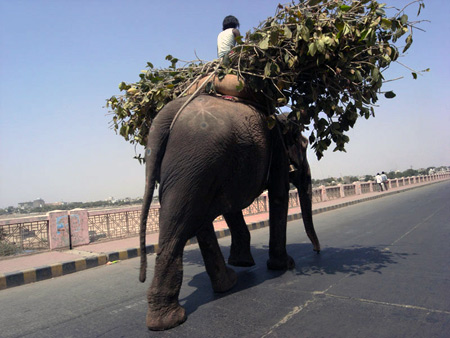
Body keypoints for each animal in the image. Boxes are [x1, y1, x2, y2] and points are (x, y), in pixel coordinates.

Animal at [139, 93, 318, 330]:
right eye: (305, 145)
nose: (317, 252)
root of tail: (164, 117)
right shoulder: (278, 148)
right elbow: (278, 195)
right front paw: (284, 265)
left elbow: (231, 207)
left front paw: (242, 263)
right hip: (197, 159)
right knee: (182, 224)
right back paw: (169, 320)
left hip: (194, 167)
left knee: (193, 219)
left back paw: (226, 284)